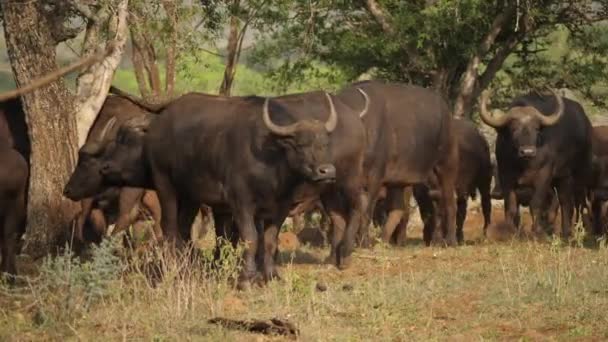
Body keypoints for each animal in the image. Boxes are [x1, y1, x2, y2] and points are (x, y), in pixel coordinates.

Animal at [63, 89, 366, 284]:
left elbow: (266, 239)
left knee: (355, 208)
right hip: (168, 186)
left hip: (343, 182)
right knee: (170, 228)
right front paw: (245, 277)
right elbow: (247, 237)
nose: (326, 170)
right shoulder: (238, 204)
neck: (272, 163)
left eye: (324, 143)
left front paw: (269, 274)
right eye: (300, 144)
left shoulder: (277, 208)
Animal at [334, 80, 458, 246]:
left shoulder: (374, 179)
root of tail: (447, 113)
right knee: (424, 204)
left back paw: (450, 240)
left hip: (447, 165)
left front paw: (363, 242)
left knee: (450, 202)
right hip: (415, 179)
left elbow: (366, 210)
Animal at [478, 89, 592, 236]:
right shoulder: (506, 176)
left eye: (537, 129)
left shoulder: (543, 176)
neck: (524, 165)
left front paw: (537, 231)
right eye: (513, 128)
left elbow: (536, 204)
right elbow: (511, 206)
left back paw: (569, 231)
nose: (528, 151)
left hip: (576, 176)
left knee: (570, 202)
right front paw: (510, 231)